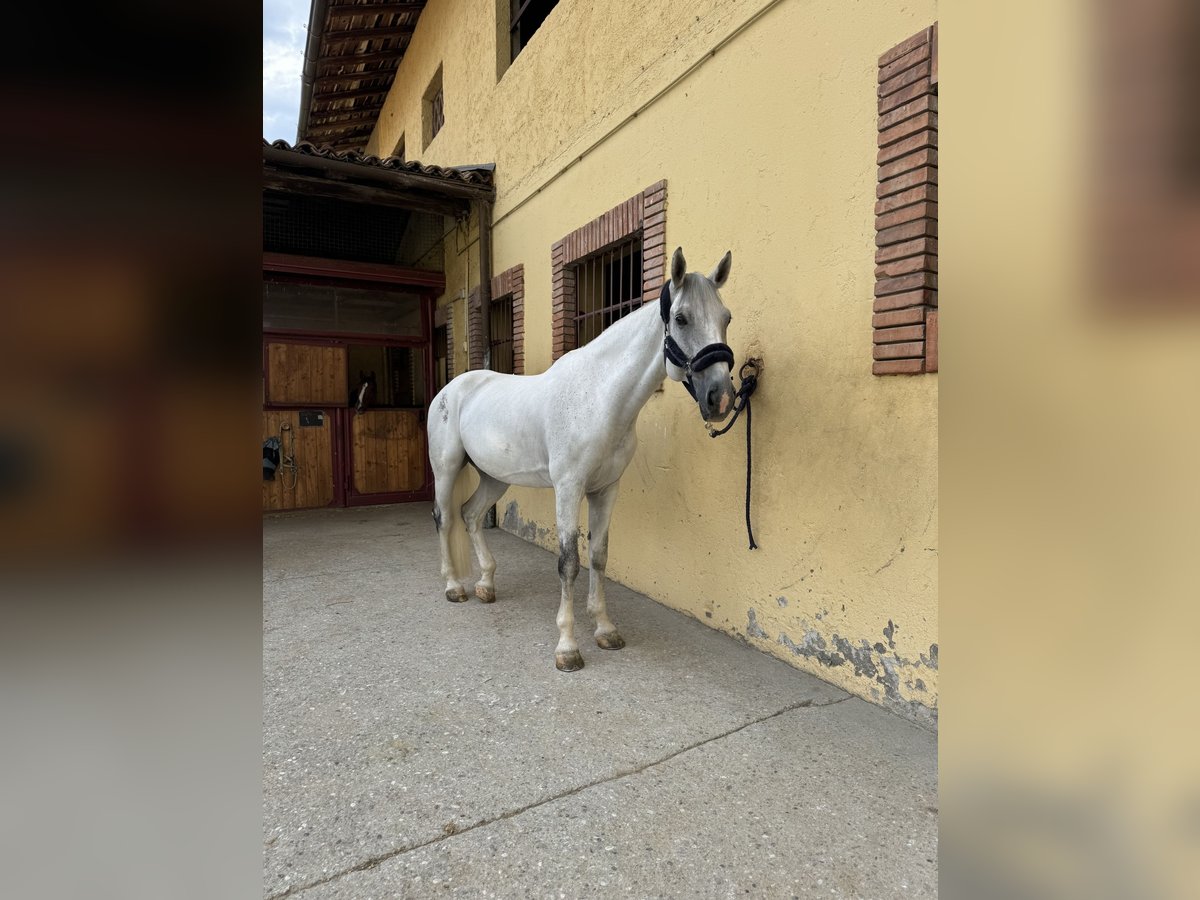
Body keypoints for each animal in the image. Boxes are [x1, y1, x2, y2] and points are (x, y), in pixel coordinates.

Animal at [427, 247, 734, 672]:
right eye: (681, 318)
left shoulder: (606, 489)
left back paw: (486, 585)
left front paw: (605, 629)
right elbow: (569, 561)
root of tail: (452, 388)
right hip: (445, 468)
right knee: (445, 518)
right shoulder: (568, 488)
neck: (598, 399)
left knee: (471, 515)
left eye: (726, 318)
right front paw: (568, 647)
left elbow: (599, 556)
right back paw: (455, 587)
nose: (720, 398)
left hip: (494, 477)